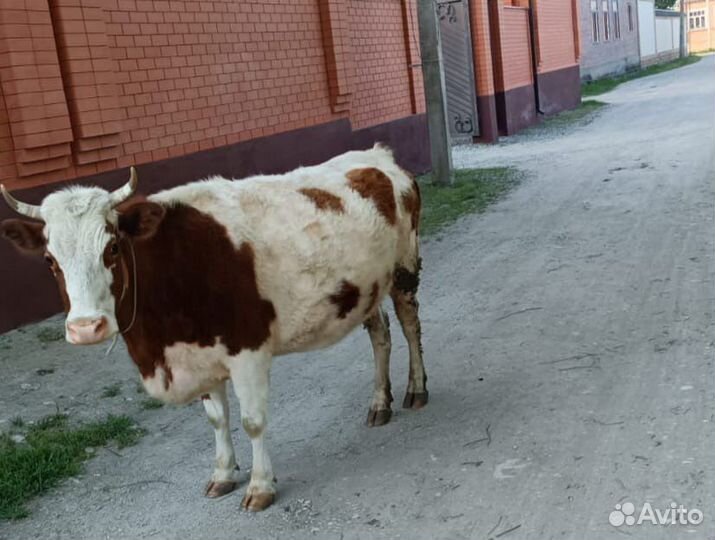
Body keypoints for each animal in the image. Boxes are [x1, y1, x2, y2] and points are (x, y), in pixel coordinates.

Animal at [0, 145, 427, 511]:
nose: (87, 327)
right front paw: (223, 474)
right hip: (365, 287)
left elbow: (252, 421)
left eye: (113, 248)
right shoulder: (200, 353)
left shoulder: (248, 348)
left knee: (409, 327)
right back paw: (379, 403)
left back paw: (416, 390)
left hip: (404, 267)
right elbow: (217, 418)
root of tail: (376, 155)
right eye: (50, 261)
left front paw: (260, 486)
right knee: (381, 335)